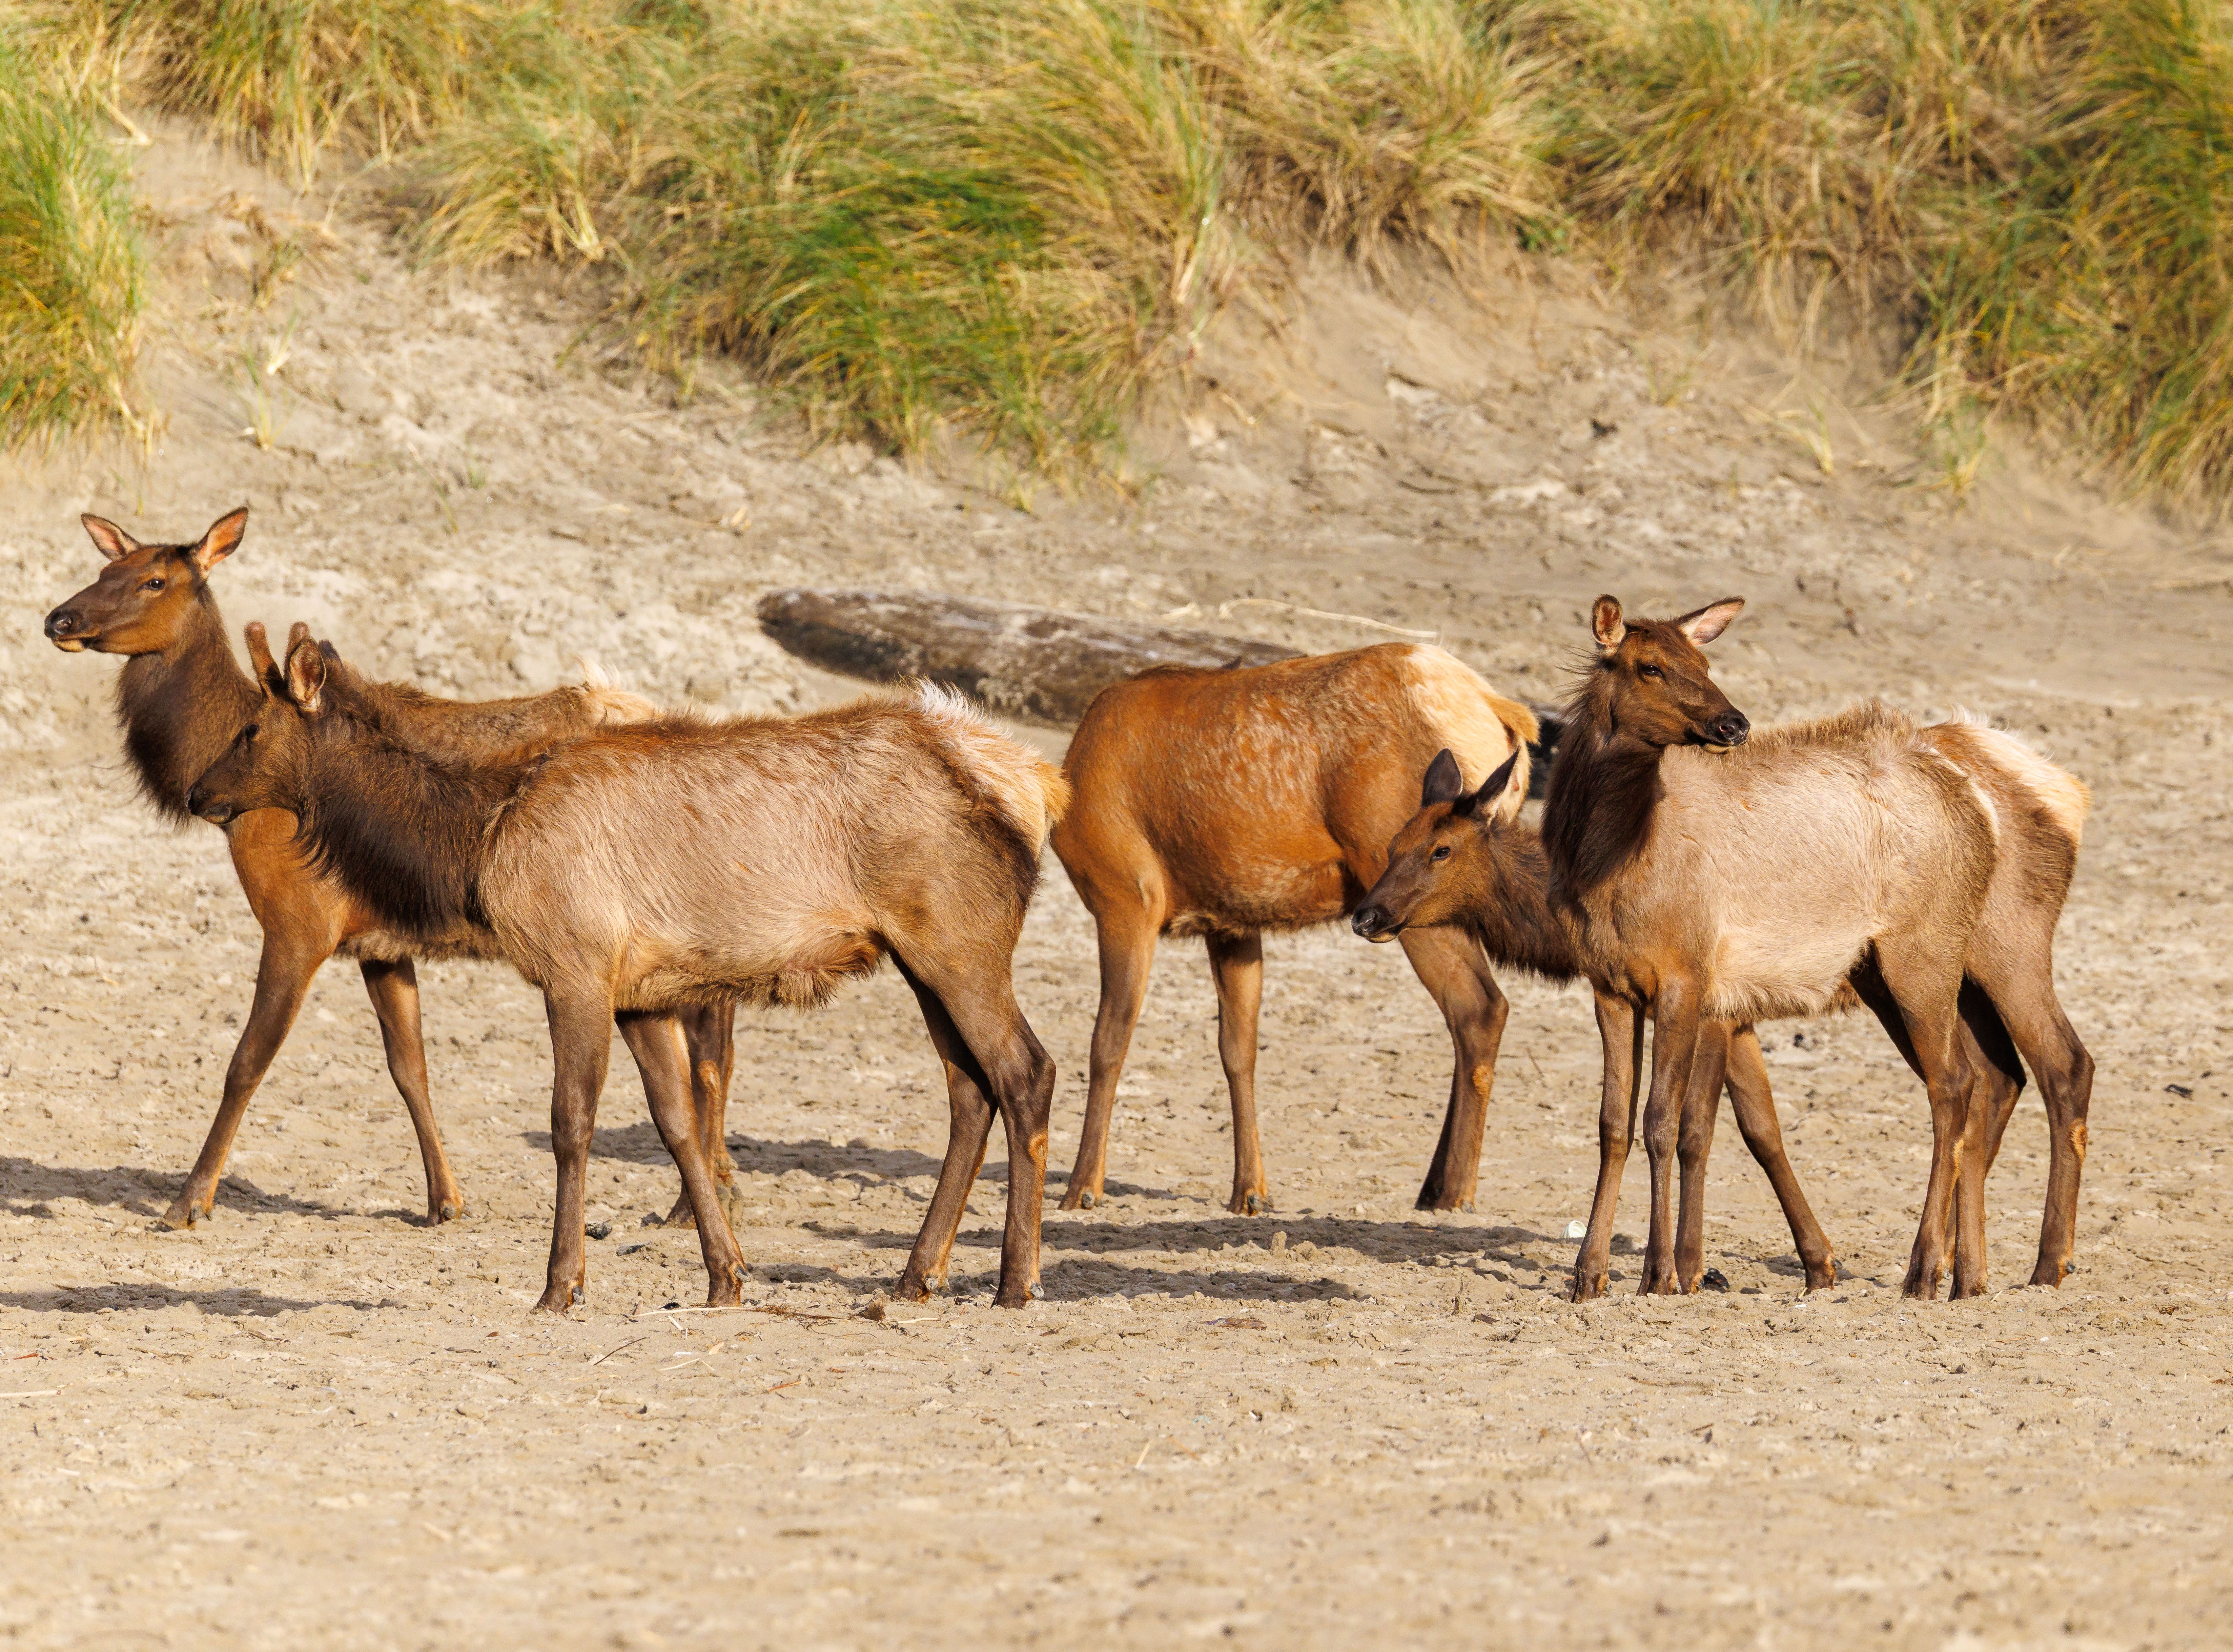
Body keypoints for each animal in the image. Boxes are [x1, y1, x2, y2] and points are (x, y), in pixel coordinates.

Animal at [41, 509, 741, 1233]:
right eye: (104, 568)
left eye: (154, 579)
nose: (59, 619)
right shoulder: (379, 944)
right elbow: (410, 1067)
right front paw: (445, 1199)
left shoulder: (300, 923)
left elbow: (246, 1062)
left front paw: (188, 1202)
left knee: (711, 1046)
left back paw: (700, 1198)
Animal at [185, 631, 1067, 1311]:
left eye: (252, 727)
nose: (196, 791)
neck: (475, 841)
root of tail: (1035, 785)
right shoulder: (641, 992)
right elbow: (677, 1124)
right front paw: (725, 1275)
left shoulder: (575, 965)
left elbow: (570, 1123)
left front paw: (559, 1284)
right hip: (920, 955)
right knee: (969, 1089)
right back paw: (919, 1273)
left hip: (961, 942)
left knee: (1025, 1069)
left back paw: (1015, 1280)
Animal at [1536, 596, 2092, 1301]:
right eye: (1651, 665)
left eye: (1705, 663)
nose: (1733, 723)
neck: (1605, 860)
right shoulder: (1613, 984)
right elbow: (1623, 1124)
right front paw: (1592, 1274)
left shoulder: (1688, 980)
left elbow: (1668, 1123)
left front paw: (1662, 1273)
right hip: (1910, 976)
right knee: (1999, 1076)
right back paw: (1969, 1274)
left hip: (1950, 953)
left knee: (1998, 1077)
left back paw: (1972, 1266)